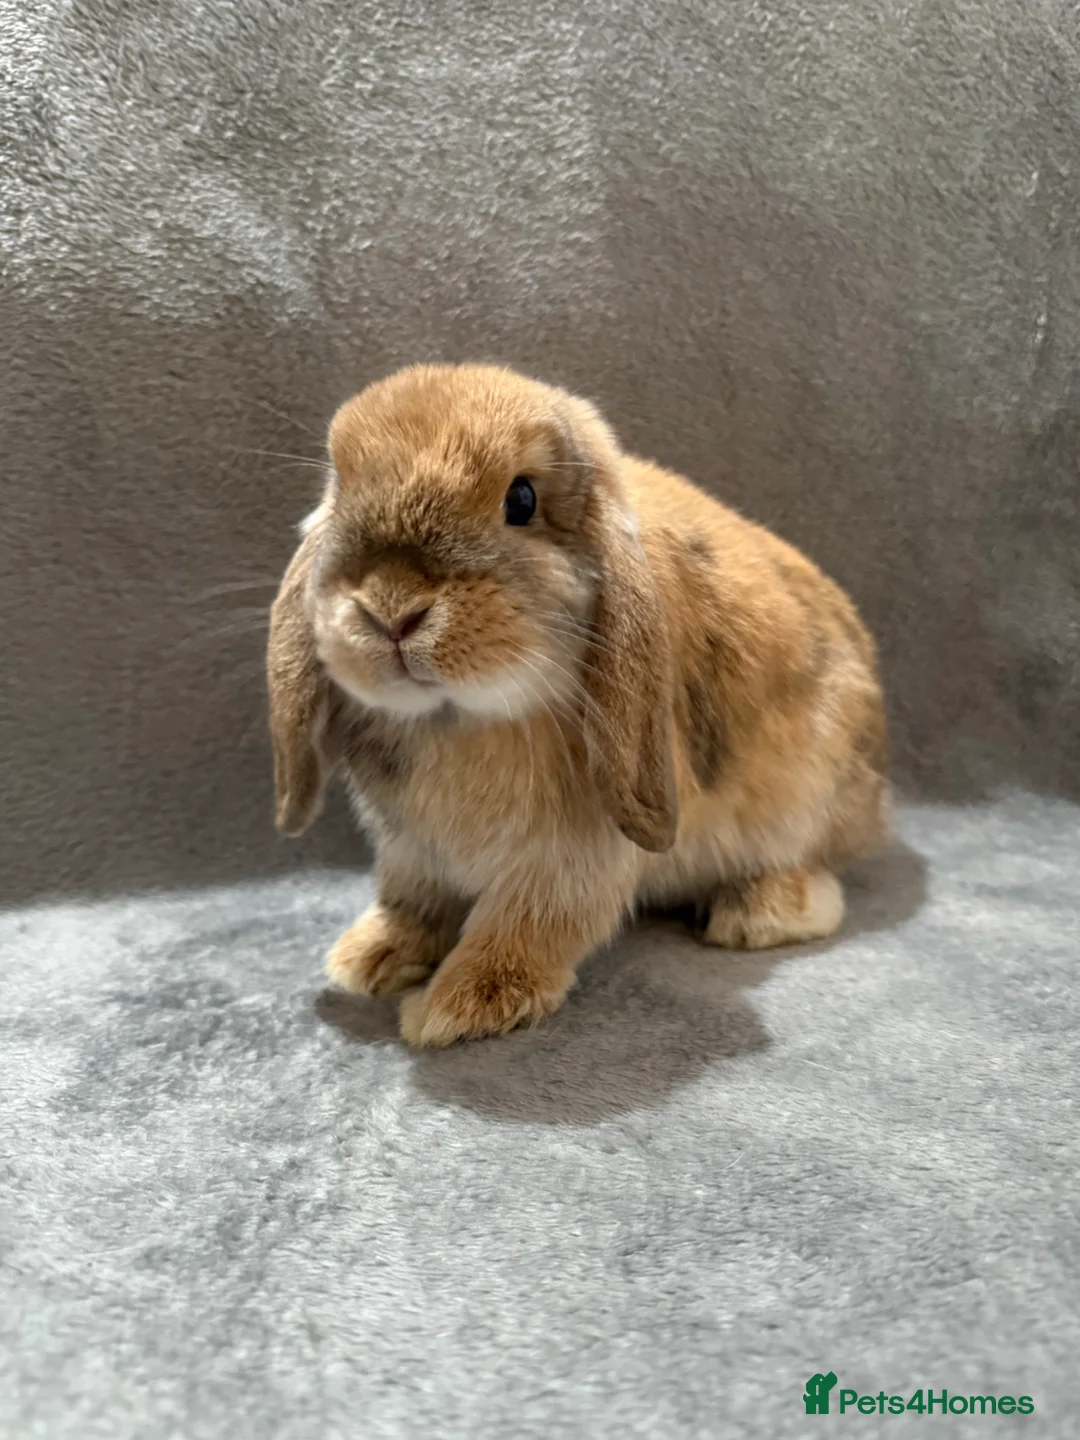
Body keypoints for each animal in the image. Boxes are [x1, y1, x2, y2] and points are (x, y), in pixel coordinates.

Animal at [267, 364, 888, 1047]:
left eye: (521, 500)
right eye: (339, 488)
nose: (392, 610)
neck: (458, 717)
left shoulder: (572, 854)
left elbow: (533, 922)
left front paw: (458, 1007)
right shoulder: (410, 850)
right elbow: (412, 903)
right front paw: (368, 959)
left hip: (806, 802)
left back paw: (757, 914)